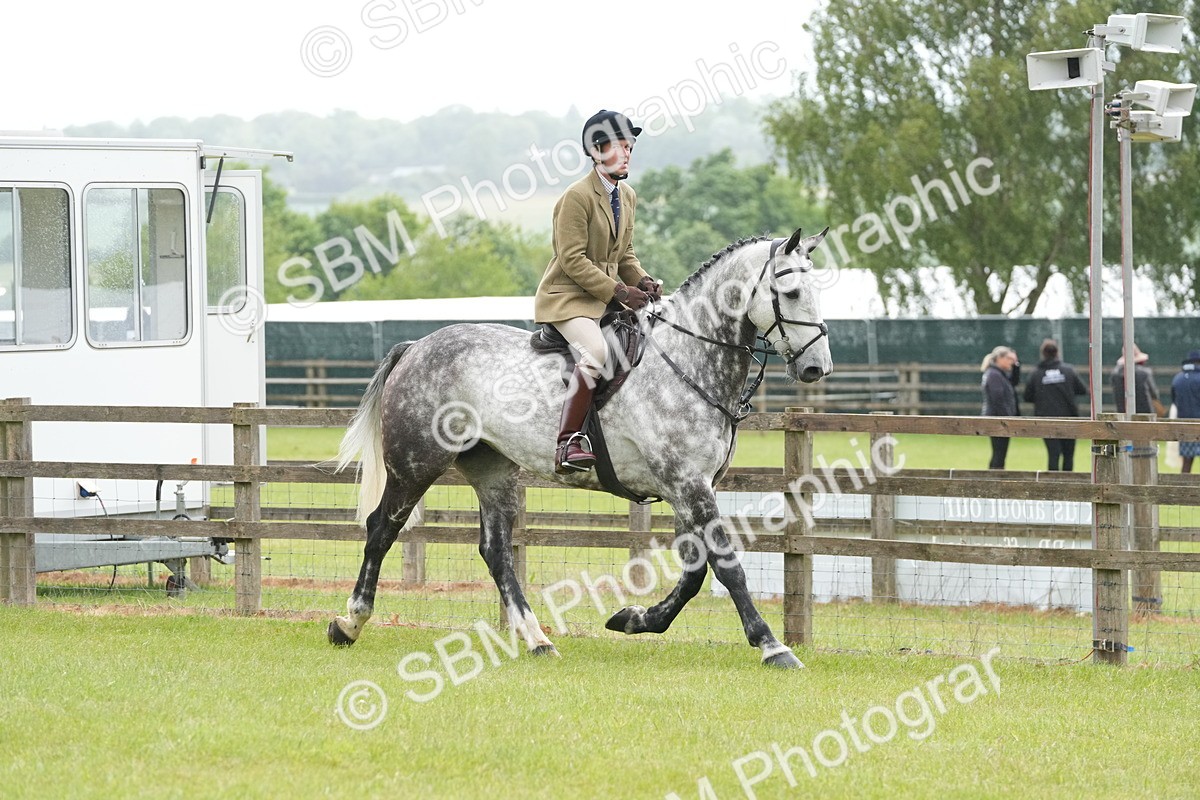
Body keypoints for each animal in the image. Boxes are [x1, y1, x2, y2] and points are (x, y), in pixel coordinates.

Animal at [329, 226, 832, 668]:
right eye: (790, 293)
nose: (816, 368)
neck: (688, 360)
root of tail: (418, 345)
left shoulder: (690, 487)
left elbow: (694, 572)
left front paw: (634, 619)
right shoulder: (688, 485)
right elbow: (727, 566)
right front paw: (772, 647)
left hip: (493, 469)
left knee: (496, 552)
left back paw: (538, 640)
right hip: (416, 463)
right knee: (381, 529)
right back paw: (348, 623)